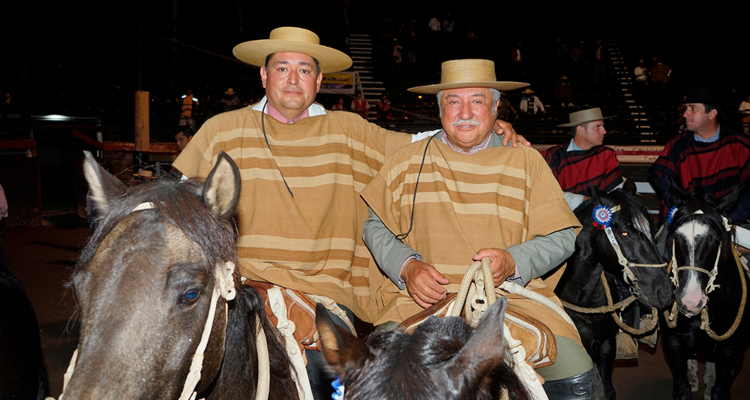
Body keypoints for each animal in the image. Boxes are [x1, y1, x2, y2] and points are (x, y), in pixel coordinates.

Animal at [664, 182, 750, 400]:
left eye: (716, 240)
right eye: (676, 236)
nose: (691, 301)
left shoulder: (730, 350)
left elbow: (721, 391)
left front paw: (712, 387)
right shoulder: (673, 342)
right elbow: (682, 390)